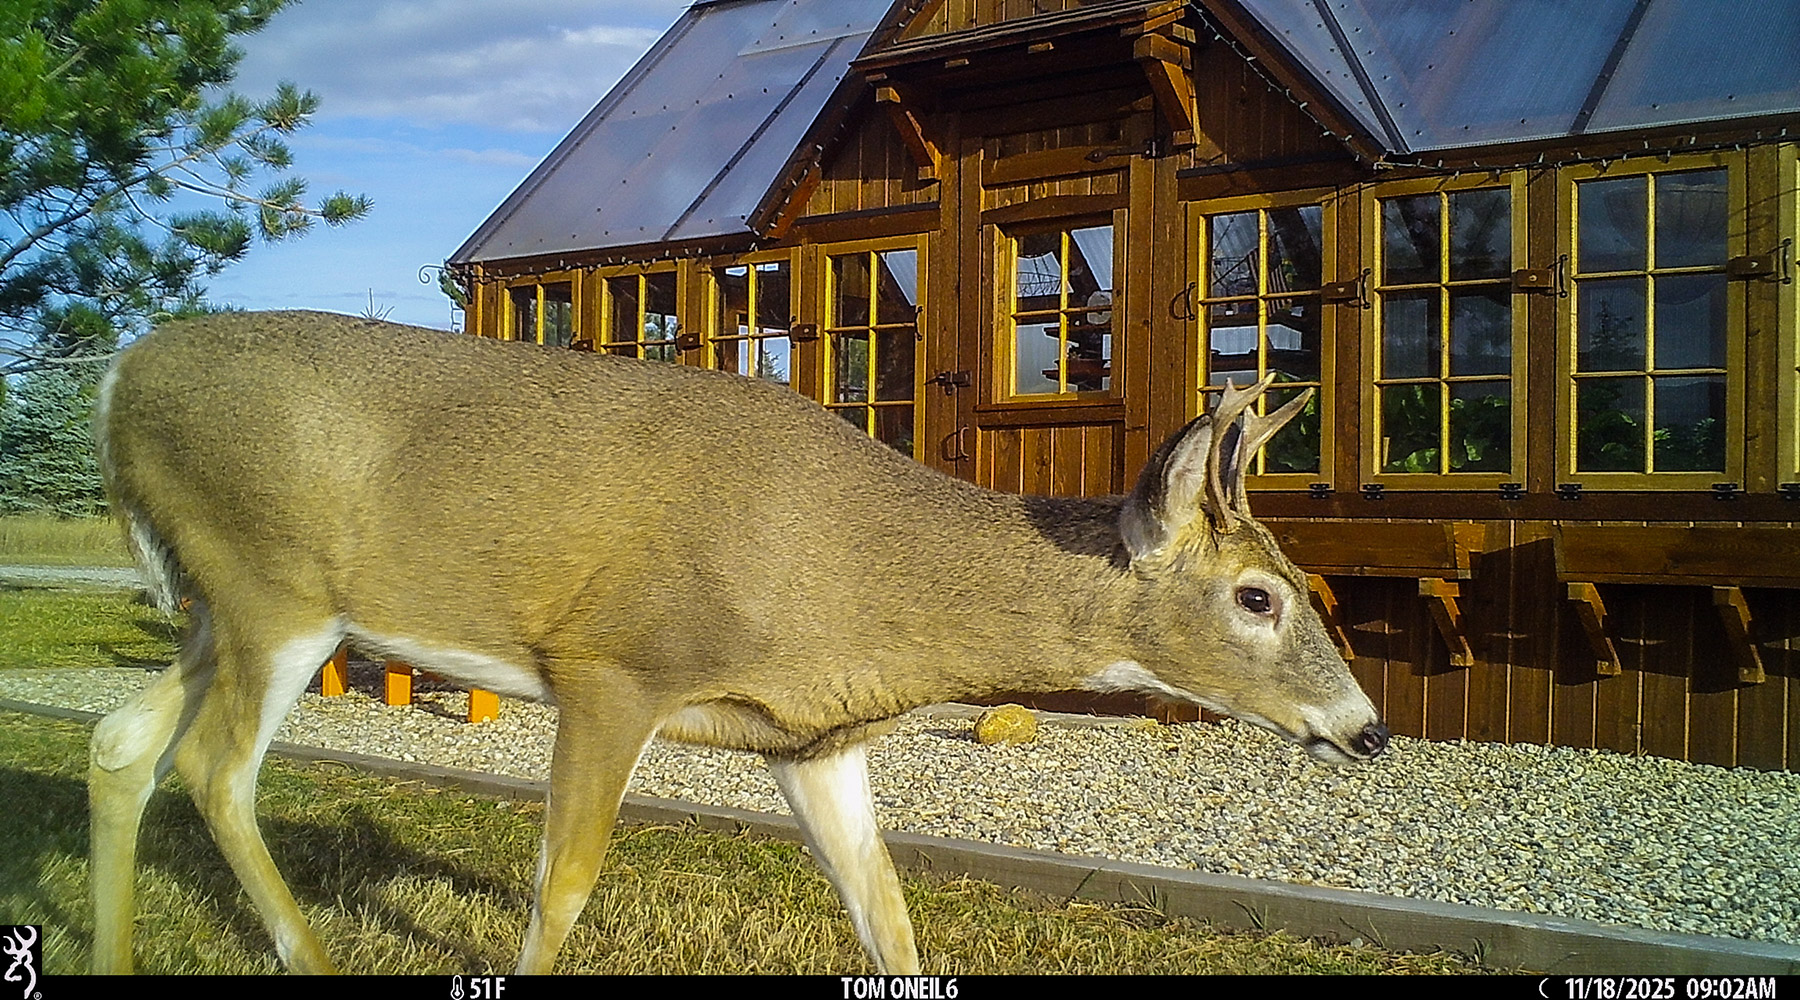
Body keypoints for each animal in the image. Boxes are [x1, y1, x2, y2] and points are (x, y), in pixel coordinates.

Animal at [87, 310, 1388, 975]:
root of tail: (115, 375)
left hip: (212, 605)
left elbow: (889, 919)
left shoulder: (811, 739)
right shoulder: (615, 666)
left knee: (119, 742)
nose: (1369, 729)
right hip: (271, 586)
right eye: (1259, 597)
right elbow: (561, 891)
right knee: (213, 769)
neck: (854, 583)